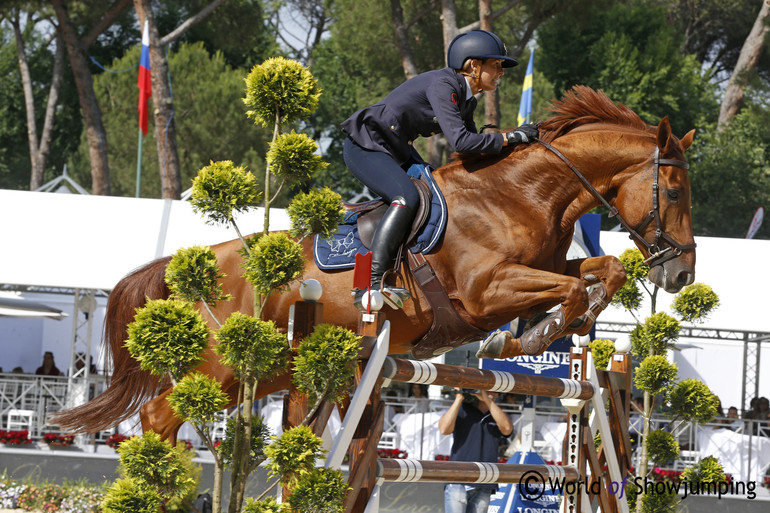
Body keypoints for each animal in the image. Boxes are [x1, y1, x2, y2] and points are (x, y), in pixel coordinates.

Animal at [51, 86, 692, 442]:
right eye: (675, 189)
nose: (680, 274)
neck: (521, 194)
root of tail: (192, 264)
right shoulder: (486, 291)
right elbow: (576, 285)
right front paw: (534, 334)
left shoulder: (540, 273)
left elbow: (599, 272)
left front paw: (550, 329)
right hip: (224, 366)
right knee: (160, 415)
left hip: (274, 371)